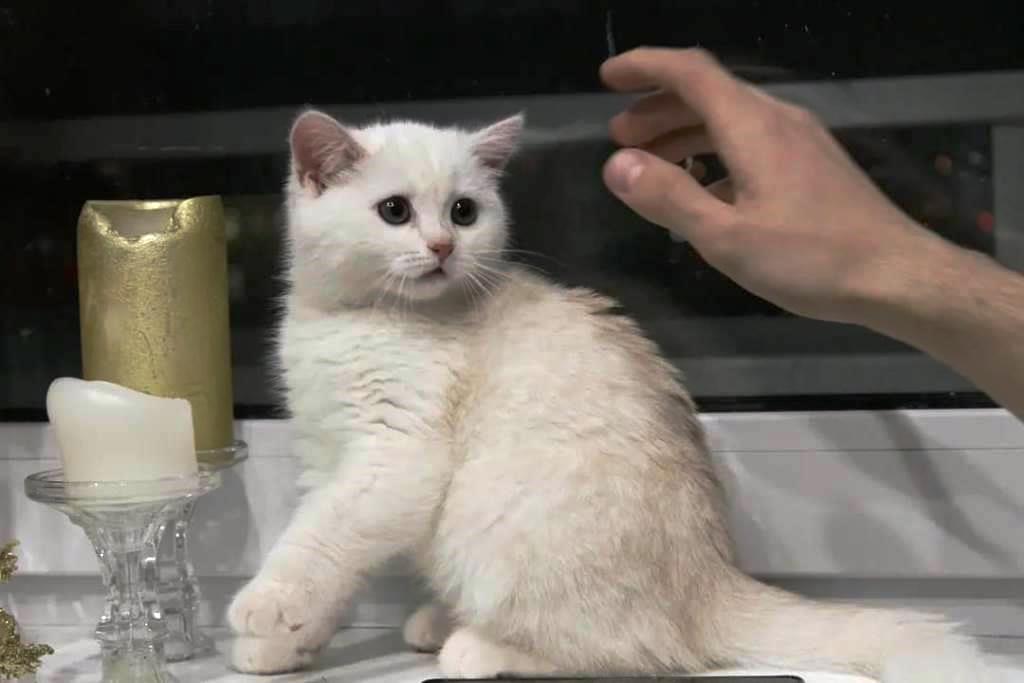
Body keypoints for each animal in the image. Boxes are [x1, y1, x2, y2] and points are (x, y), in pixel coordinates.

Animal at [226, 108, 1005, 682]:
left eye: (464, 210)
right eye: (394, 210)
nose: (446, 246)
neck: (358, 318)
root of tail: (710, 581)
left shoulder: (394, 458)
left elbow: (318, 542)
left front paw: (266, 608)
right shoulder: (327, 456)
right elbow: (329, 552)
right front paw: (292, 643)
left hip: (507, 528)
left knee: (631, 649)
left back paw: (475, 644)